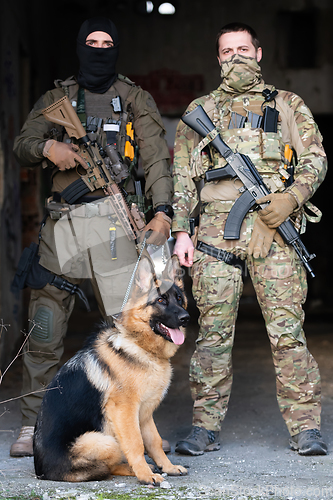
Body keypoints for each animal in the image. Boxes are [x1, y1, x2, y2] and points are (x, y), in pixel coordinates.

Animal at [34, 254, 189, 484]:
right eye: (161, 300)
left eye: (179, 299)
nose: (186, 318)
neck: (140, 346)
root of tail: (41, 472)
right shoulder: (125, 411)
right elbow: (136, 443)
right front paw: (145, 475)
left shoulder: (144, 413)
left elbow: (155, 441)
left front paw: (167, 467)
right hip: (105, 440)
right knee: (108, 466)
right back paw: (133, 470)